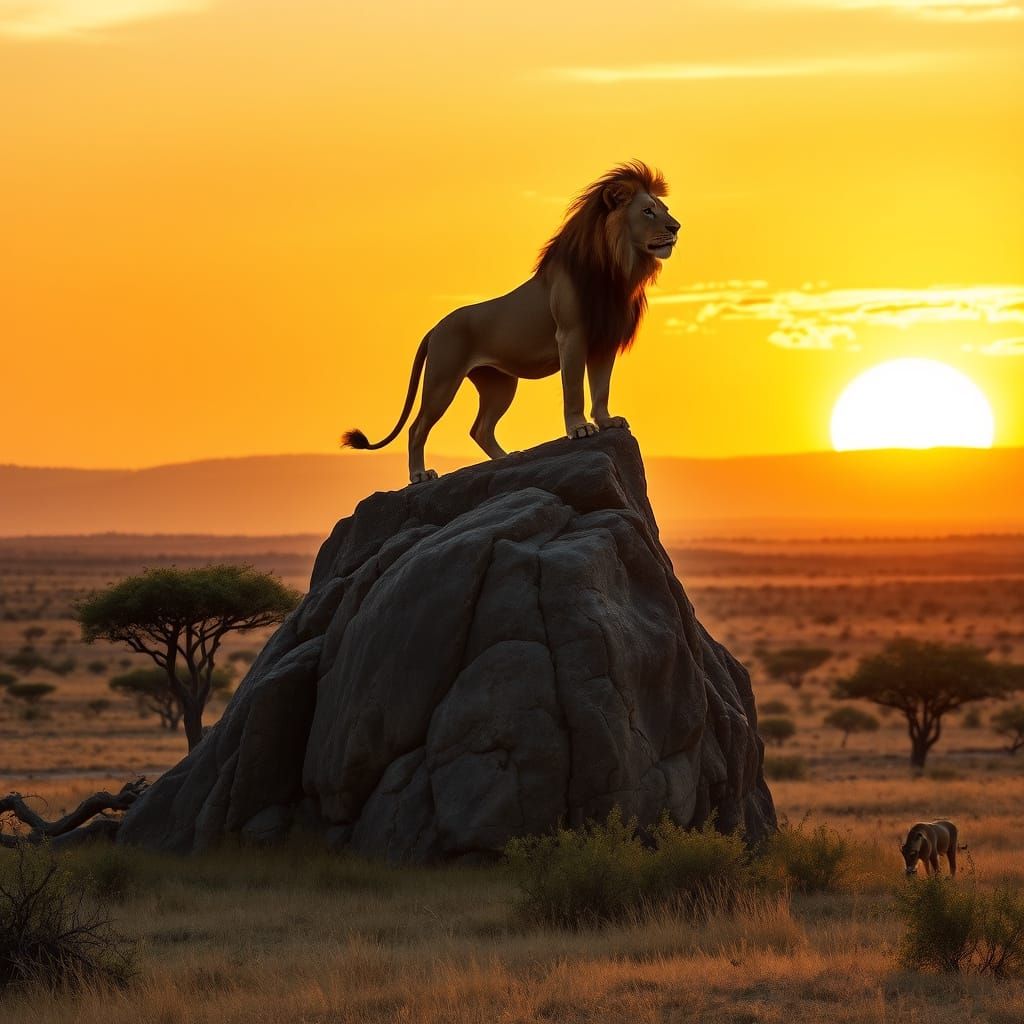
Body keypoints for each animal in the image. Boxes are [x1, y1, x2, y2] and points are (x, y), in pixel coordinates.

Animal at [342, 161, 681, 483]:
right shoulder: (570, 336)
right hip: (443, 379)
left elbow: (601, 387)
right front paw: (580, 428)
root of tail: (434, 328)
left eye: (664, 209)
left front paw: (606, 421)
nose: (677, 227)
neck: (617, 267)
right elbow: (573, 388)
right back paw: (419, 475)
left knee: (480, 428)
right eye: (648, 211)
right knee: (418, 427)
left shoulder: (604, 341)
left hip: (499, 385)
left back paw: (508, 457)